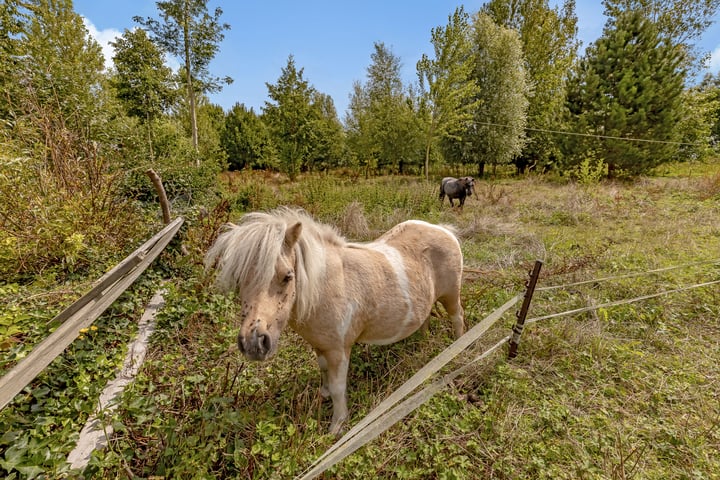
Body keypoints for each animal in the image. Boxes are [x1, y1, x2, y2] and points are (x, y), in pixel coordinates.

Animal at [205, 208, 464, 434]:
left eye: (287, 276)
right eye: (239, 279)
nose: (254, 343)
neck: (327, 287)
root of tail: (444, 230)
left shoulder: (339, 350)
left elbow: (340, 388)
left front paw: (337, 426)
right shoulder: (320, 345)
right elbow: (323, 371)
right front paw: (324, 393)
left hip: (451, 296)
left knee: (458, 317)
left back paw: (457, 348)